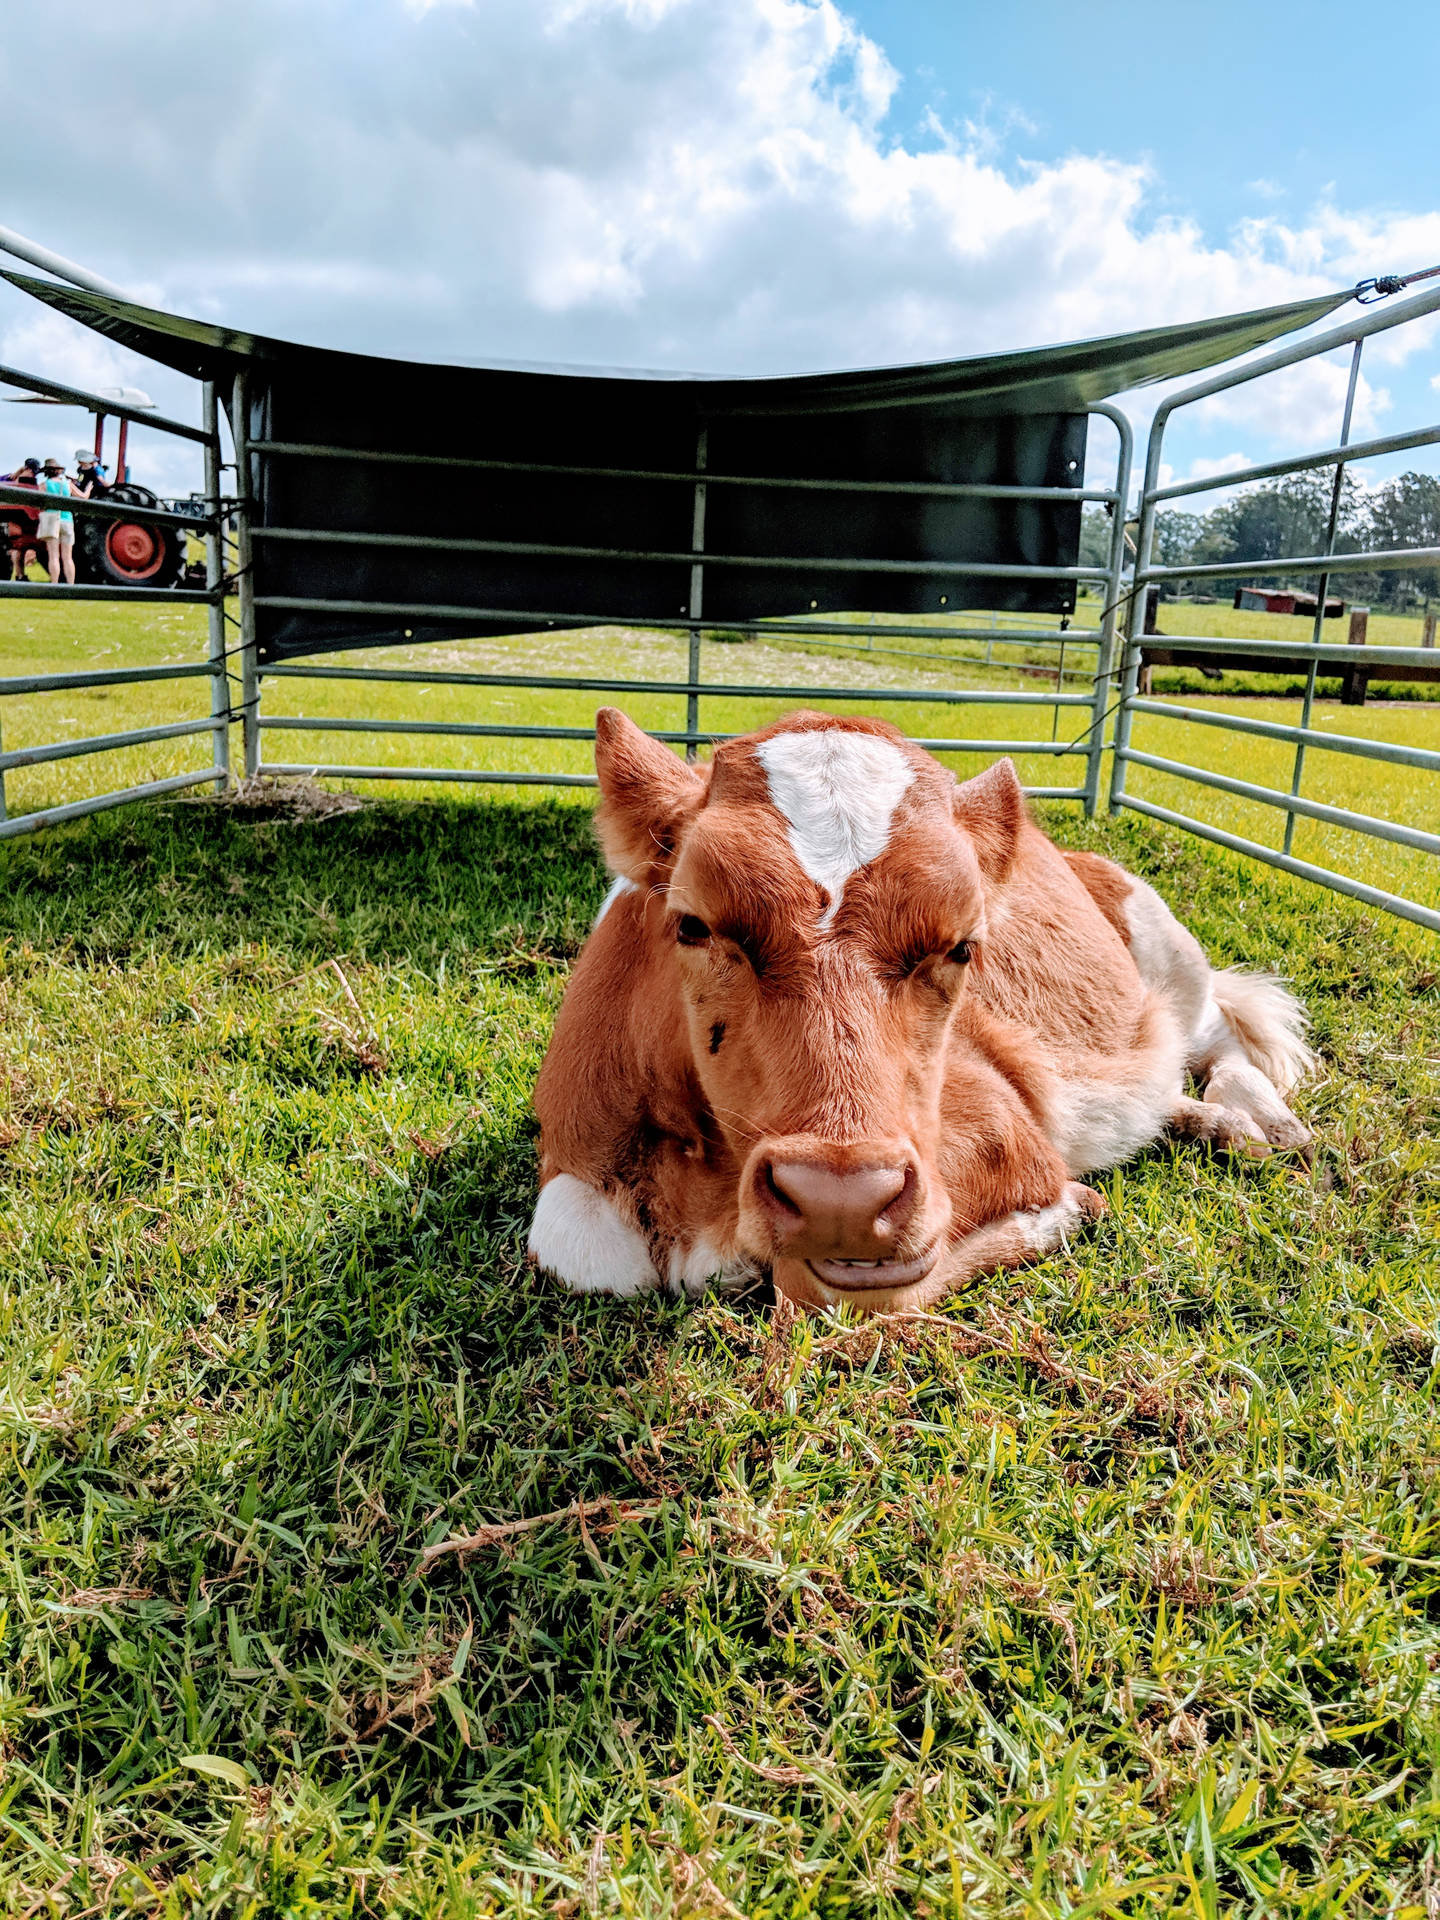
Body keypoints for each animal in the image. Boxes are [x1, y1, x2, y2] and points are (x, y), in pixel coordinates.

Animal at [533, 714, 1320, 1313]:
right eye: (692, 925)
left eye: (963, 945)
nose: (840, 1198)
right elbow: (577, 1249)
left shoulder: (999, 1130)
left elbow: (835, 1285)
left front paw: (1064, 1211)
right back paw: (1208, 1124)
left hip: (1166, 945)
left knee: (1216, 1035)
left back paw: (1265, 1121)